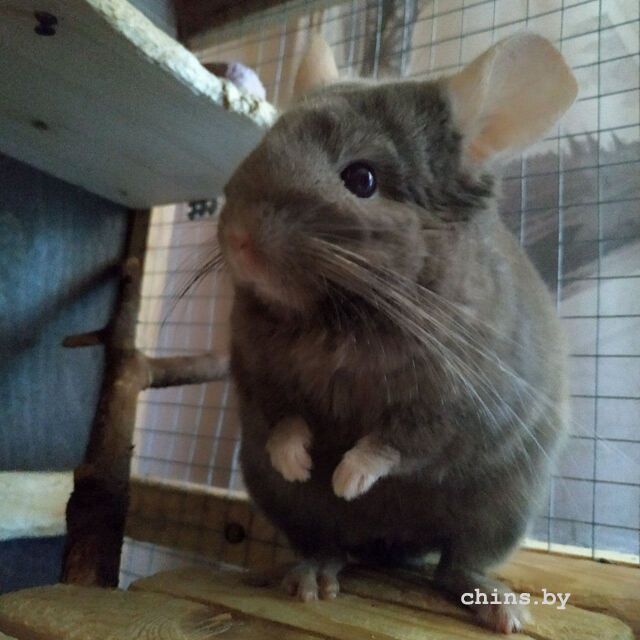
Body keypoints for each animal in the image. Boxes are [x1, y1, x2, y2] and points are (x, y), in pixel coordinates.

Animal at [216, 33, 577, 634]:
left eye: (361, 179)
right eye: (263, 144)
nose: (239, 237)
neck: (341, 314)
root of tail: (389, 548)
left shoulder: (459, 404)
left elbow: (400, 441)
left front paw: (345, 478)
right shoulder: (253, 373)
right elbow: (281, 416)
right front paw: (300, 464)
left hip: (504, 507)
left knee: (456, 565)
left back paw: (502, 610)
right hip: (286, 504)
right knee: (328, 544)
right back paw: (312, 578)